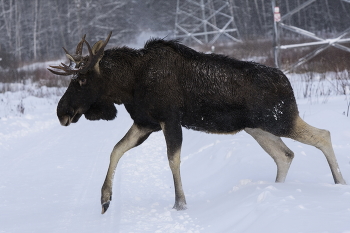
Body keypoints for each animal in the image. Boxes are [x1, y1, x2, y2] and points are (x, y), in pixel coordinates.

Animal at [47, 31, 346, 215]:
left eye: (81, 80)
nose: (62, 112)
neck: (129, 86)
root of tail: (287, 81)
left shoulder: (169, 119)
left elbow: (173, 160)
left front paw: (180, 204)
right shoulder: (146, 123)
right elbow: (116, 150)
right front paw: (105, 199)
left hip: (280, 119)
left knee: (323, 134)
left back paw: (340, 183)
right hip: (258, 128)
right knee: (285, 155)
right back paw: (279, 188)